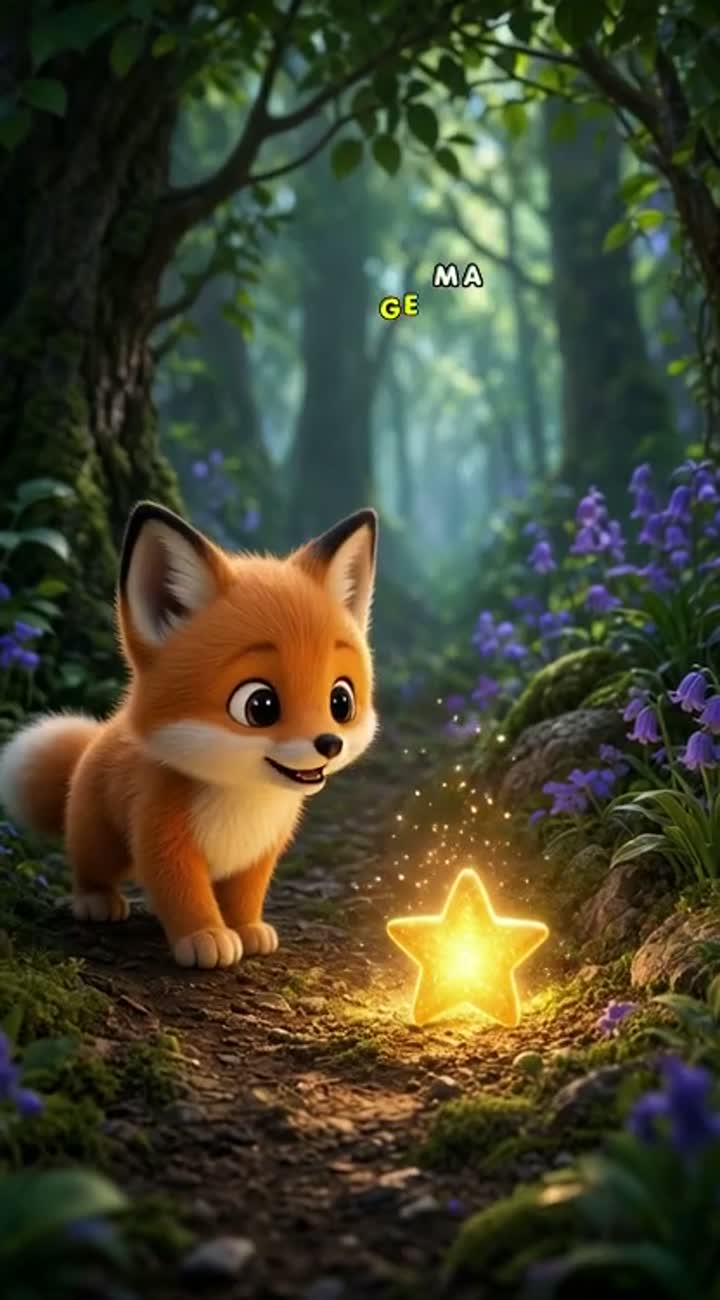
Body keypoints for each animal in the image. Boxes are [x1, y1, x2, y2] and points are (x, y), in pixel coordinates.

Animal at [0, 502, 378, 969]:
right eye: (260, 705)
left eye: (341, 701)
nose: (329, 743)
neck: (245, 800)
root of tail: (100, 733)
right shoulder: (163, 841)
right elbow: (185, 897)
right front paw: (206, 937)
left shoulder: (261, 852)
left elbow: (245, 896)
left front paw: (247, 928)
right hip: (100, 839)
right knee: (89, 866)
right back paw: (95, 901)